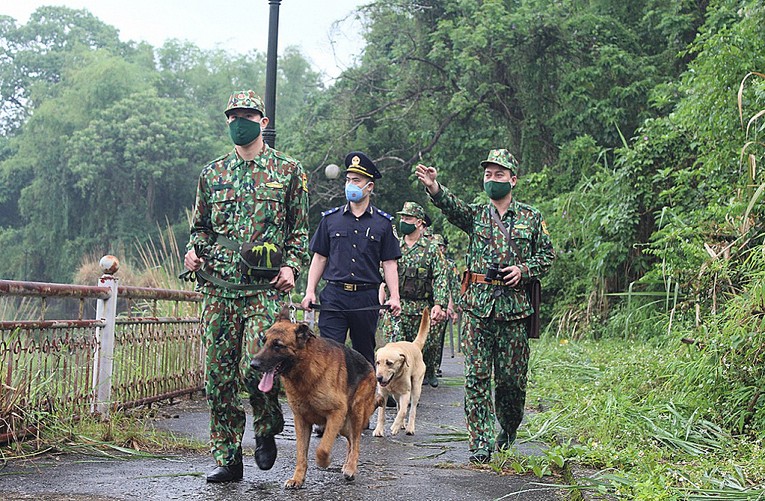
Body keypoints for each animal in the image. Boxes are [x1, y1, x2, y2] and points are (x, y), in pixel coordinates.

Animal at [251, 308, 382, 488]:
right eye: (264, 341)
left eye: (278, 345)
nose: (253, 364)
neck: (305, 368)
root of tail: (370, 365)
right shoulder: (301, 421)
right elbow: (301, 453)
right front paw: (298, 478)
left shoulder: (336, 413)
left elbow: (323, 448)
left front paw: (324, 462)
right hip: (344, 425)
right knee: (350, 442)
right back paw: (347, 464)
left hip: (355, 414)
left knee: (355, 443)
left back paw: (350, 467)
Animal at [372, 306, 430, 436]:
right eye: (378, 362)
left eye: (389, 363)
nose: (378, 378)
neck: (394, 379)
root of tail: (415, 345)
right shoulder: (383, 394)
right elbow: (381, 414)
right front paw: (379, 430)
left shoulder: (405, 393)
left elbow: (403, 411)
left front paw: (395, 426)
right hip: (396, 395)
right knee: (399, 405)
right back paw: (402, 425)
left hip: (416, 388)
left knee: (412, 409)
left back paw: (409, 428)